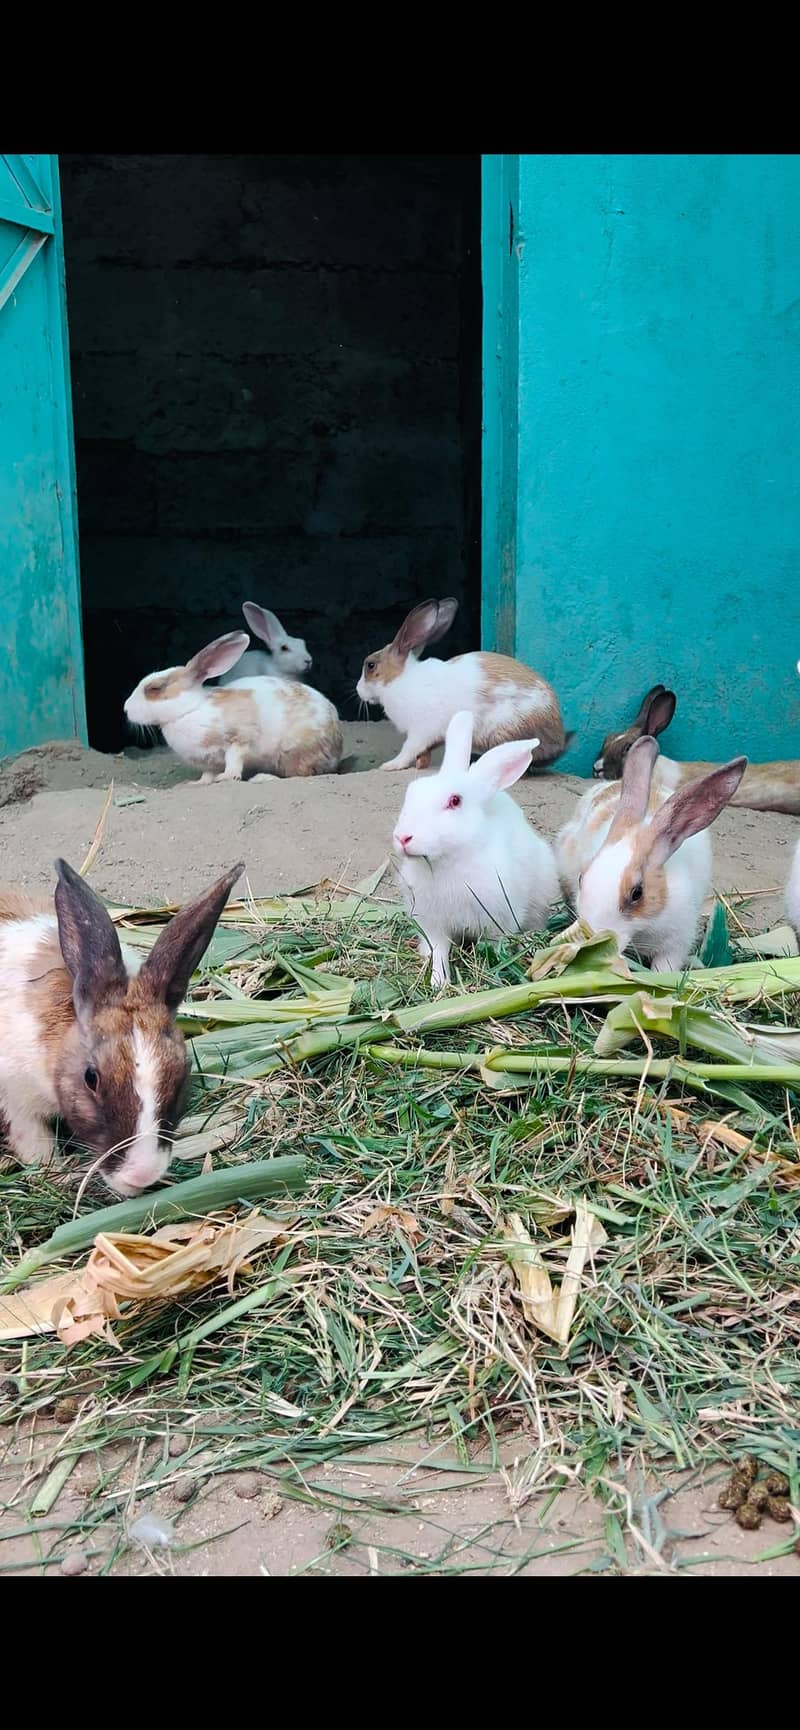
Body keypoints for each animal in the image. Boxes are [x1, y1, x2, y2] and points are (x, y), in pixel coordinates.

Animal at [0, 858, 243, 1195]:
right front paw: (57, 1173)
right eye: (91, 1078)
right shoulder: (16, 1103)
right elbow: (36, 1146)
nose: (141, 1175)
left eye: (182, 1072)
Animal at [124, 631, 342, 780]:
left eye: (154, 688)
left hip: (293, 752)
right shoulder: (208, 761)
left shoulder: (239, 738)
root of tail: (336, 746)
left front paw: (227, 778)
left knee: (299, 774)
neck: (190, 709)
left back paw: (262, 778)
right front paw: (196, 784)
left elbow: (234, 760)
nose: (126, 709)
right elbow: (208, 774)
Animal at [356, 597, 567, 772]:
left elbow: (408, 749)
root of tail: (558, 737)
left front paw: (390, 765)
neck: (399, 680)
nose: (358, 690)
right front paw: (421, 764)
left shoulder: (420, 731)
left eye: (370, 665)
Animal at [392, 709, 559, 986]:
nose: (403, 837)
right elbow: (439, 951)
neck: (447, 862)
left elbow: (493, 946)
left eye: (454, 801)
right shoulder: (431, 923)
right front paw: (438, 982)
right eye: (412, 792)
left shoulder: (498, 921)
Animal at [557, 734, 747, 971]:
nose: (595, 936)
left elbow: (665, 967)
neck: (644, 928)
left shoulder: (676, 943)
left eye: (637, 893)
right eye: (582, 878)